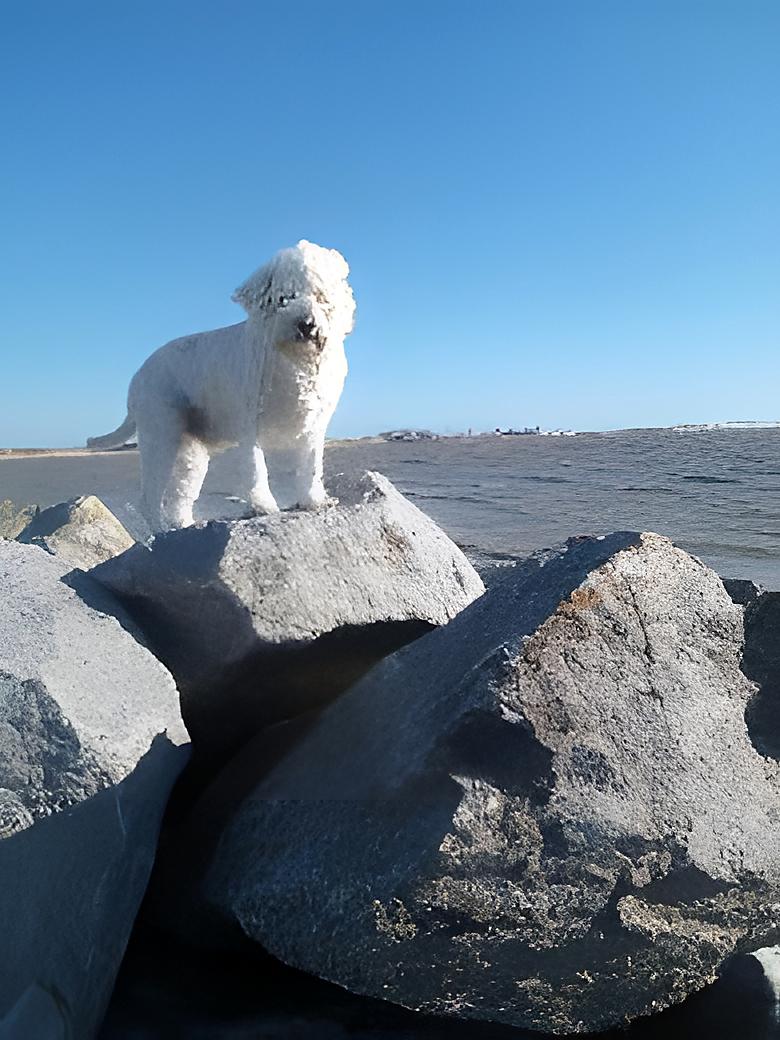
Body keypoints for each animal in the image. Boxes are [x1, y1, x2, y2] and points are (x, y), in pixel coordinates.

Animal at [86, 241, 355, 528]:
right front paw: (265, 507)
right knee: (149, 501)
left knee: (178, 498)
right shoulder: (249, 428)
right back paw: (158, 532)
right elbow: (256, 469)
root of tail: (138, 376)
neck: (290, 362)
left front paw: (314, 501)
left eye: (321, 297)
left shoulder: (314, 428)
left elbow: (311, 468)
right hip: (160, 437)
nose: (306, 325)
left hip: (190, 455)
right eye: (284, 298)